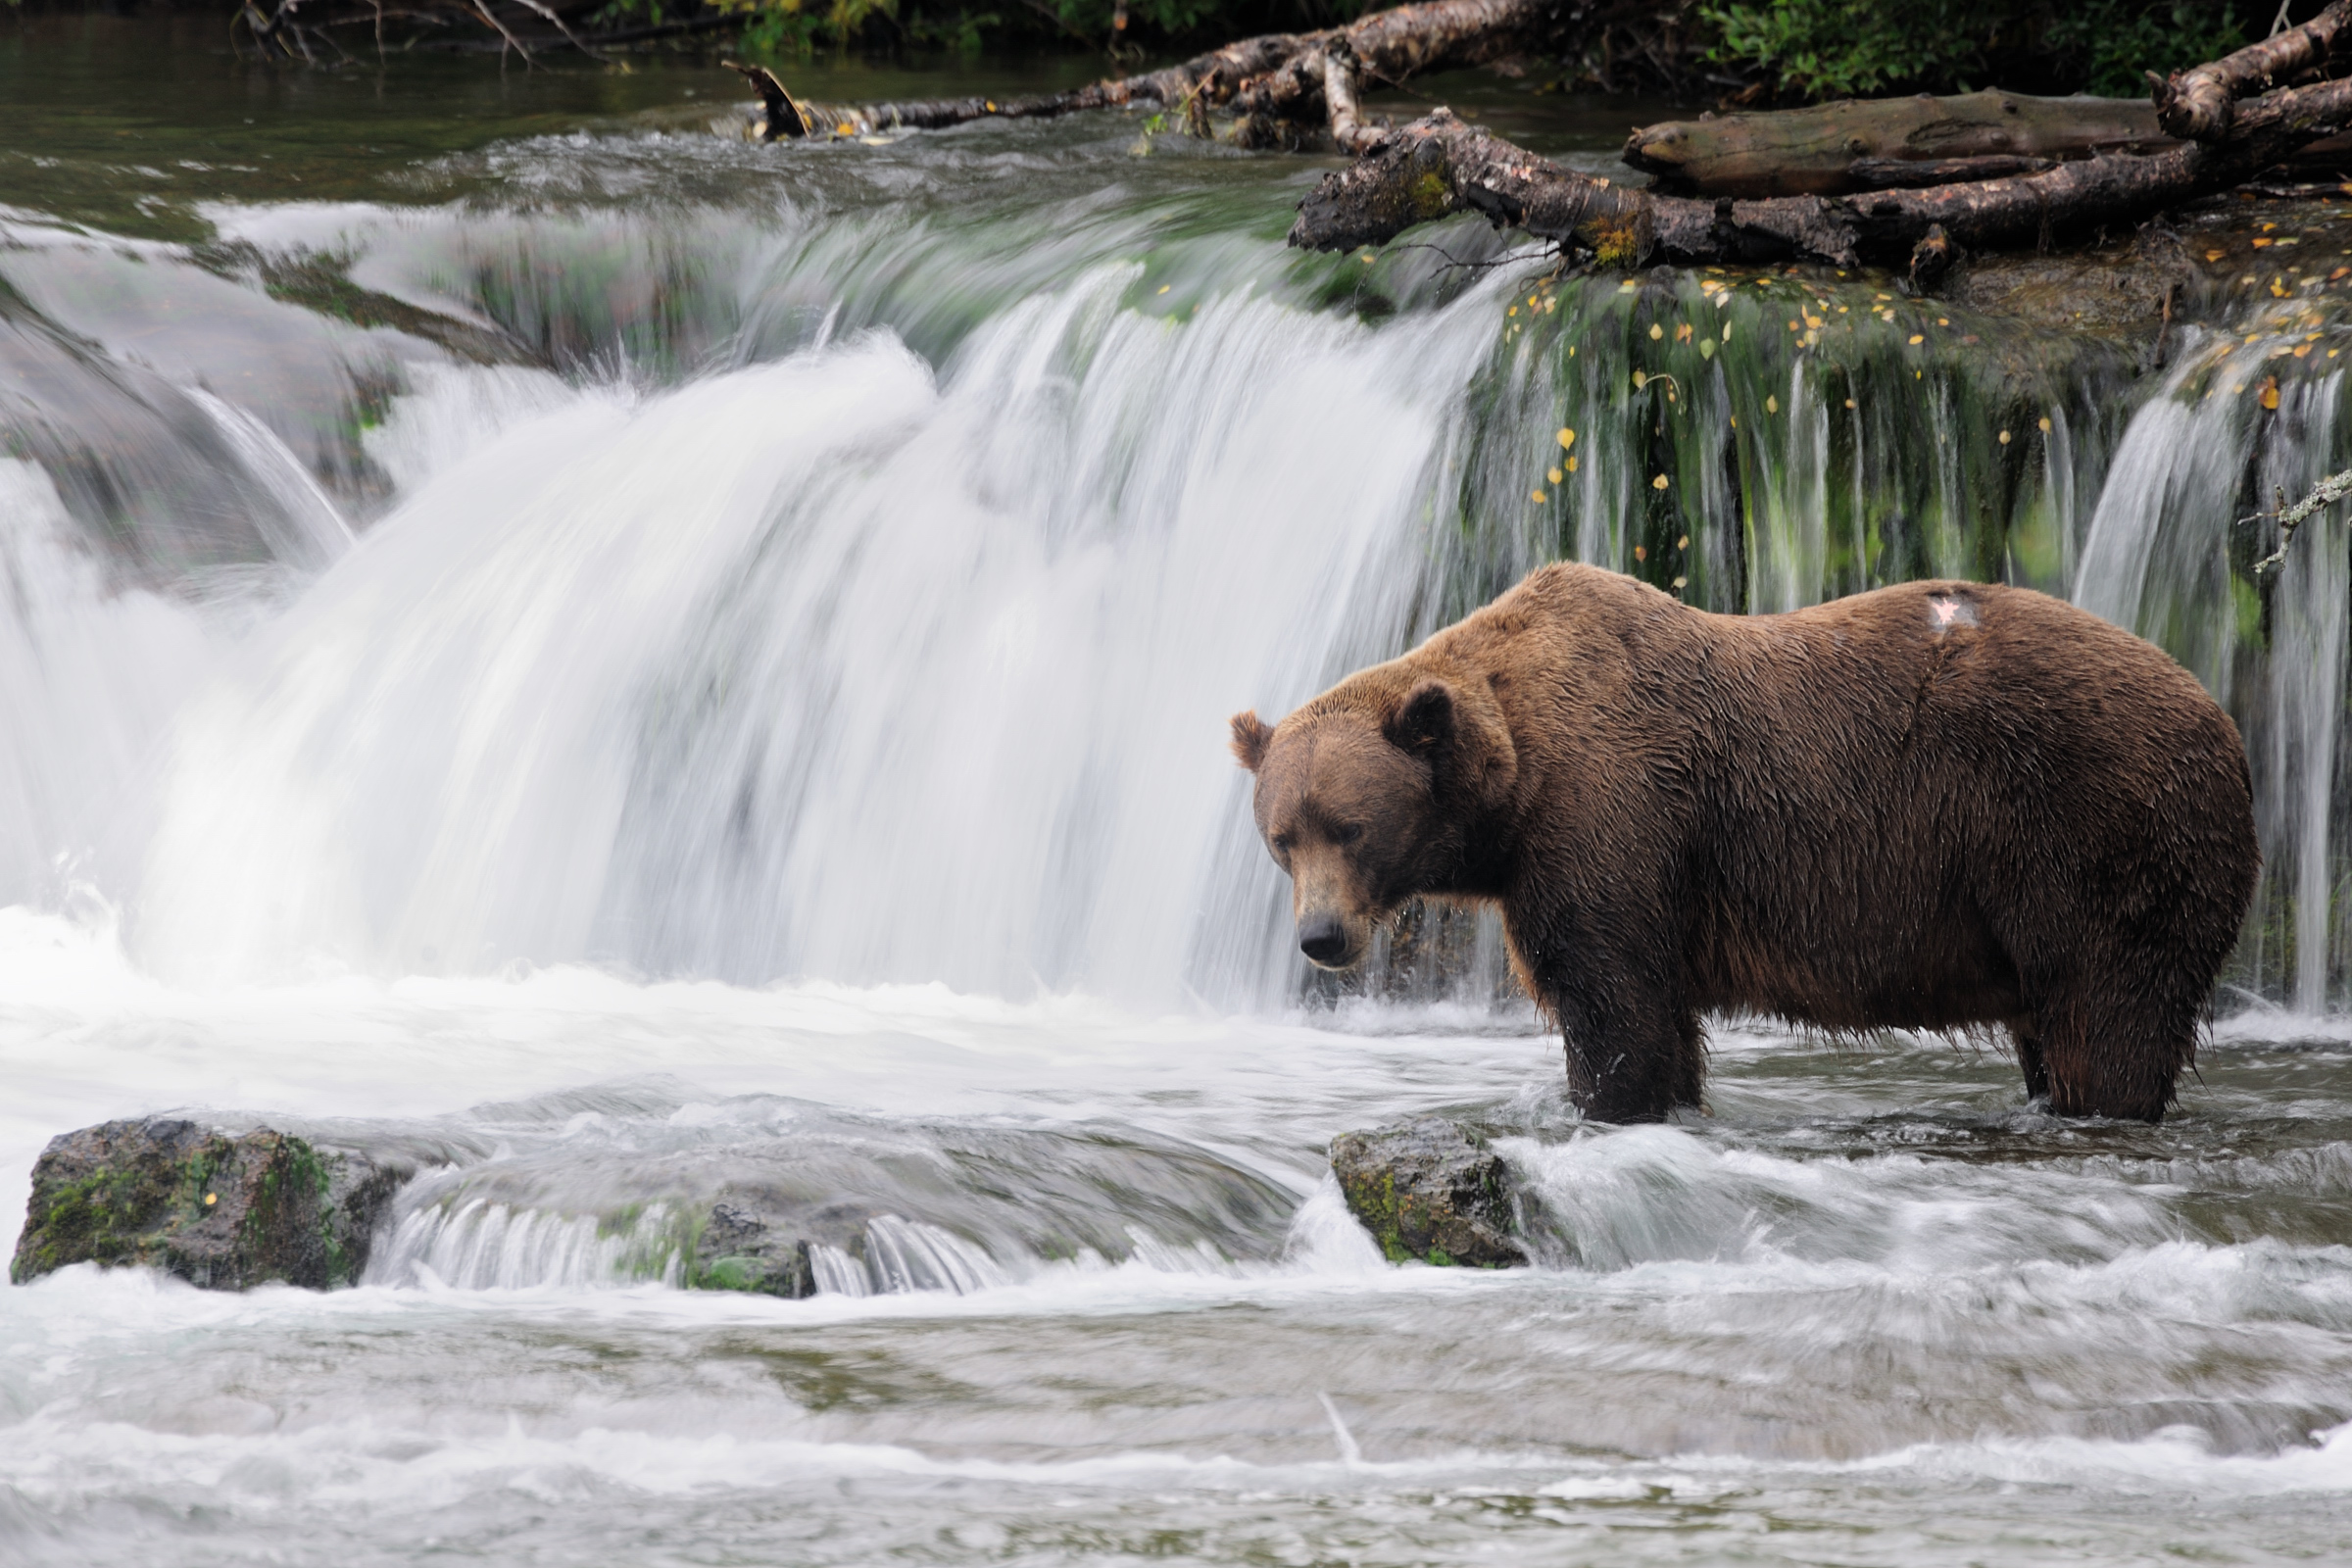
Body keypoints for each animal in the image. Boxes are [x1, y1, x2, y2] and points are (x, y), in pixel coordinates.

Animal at [1232, 557, 2258, 1123]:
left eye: (1351, 826)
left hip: (2093, 833)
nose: (1320, 938)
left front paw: (1609, 1107)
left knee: (2108, 1015)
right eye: (1282, 838)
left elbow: (1615, 1006)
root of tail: (2225, 719)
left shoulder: (1613, 815)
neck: (1513, 788)